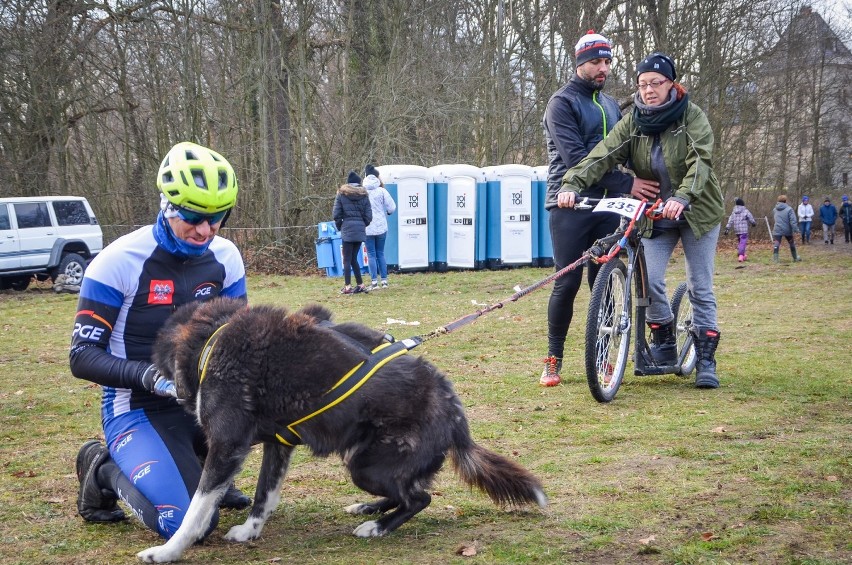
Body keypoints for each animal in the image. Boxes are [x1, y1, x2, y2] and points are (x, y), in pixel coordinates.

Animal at [136, 298, 544, 560]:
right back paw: (368, 509)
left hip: (366, 466)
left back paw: (378, 526)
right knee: (405, 492)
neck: (212, 340)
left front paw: (167, 551)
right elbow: (265, 495)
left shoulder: (226, 448)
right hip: (365, 460)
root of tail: (453, 409)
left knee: (418, 497)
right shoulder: (278, 446)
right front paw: (250, 531)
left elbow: (196, 511)